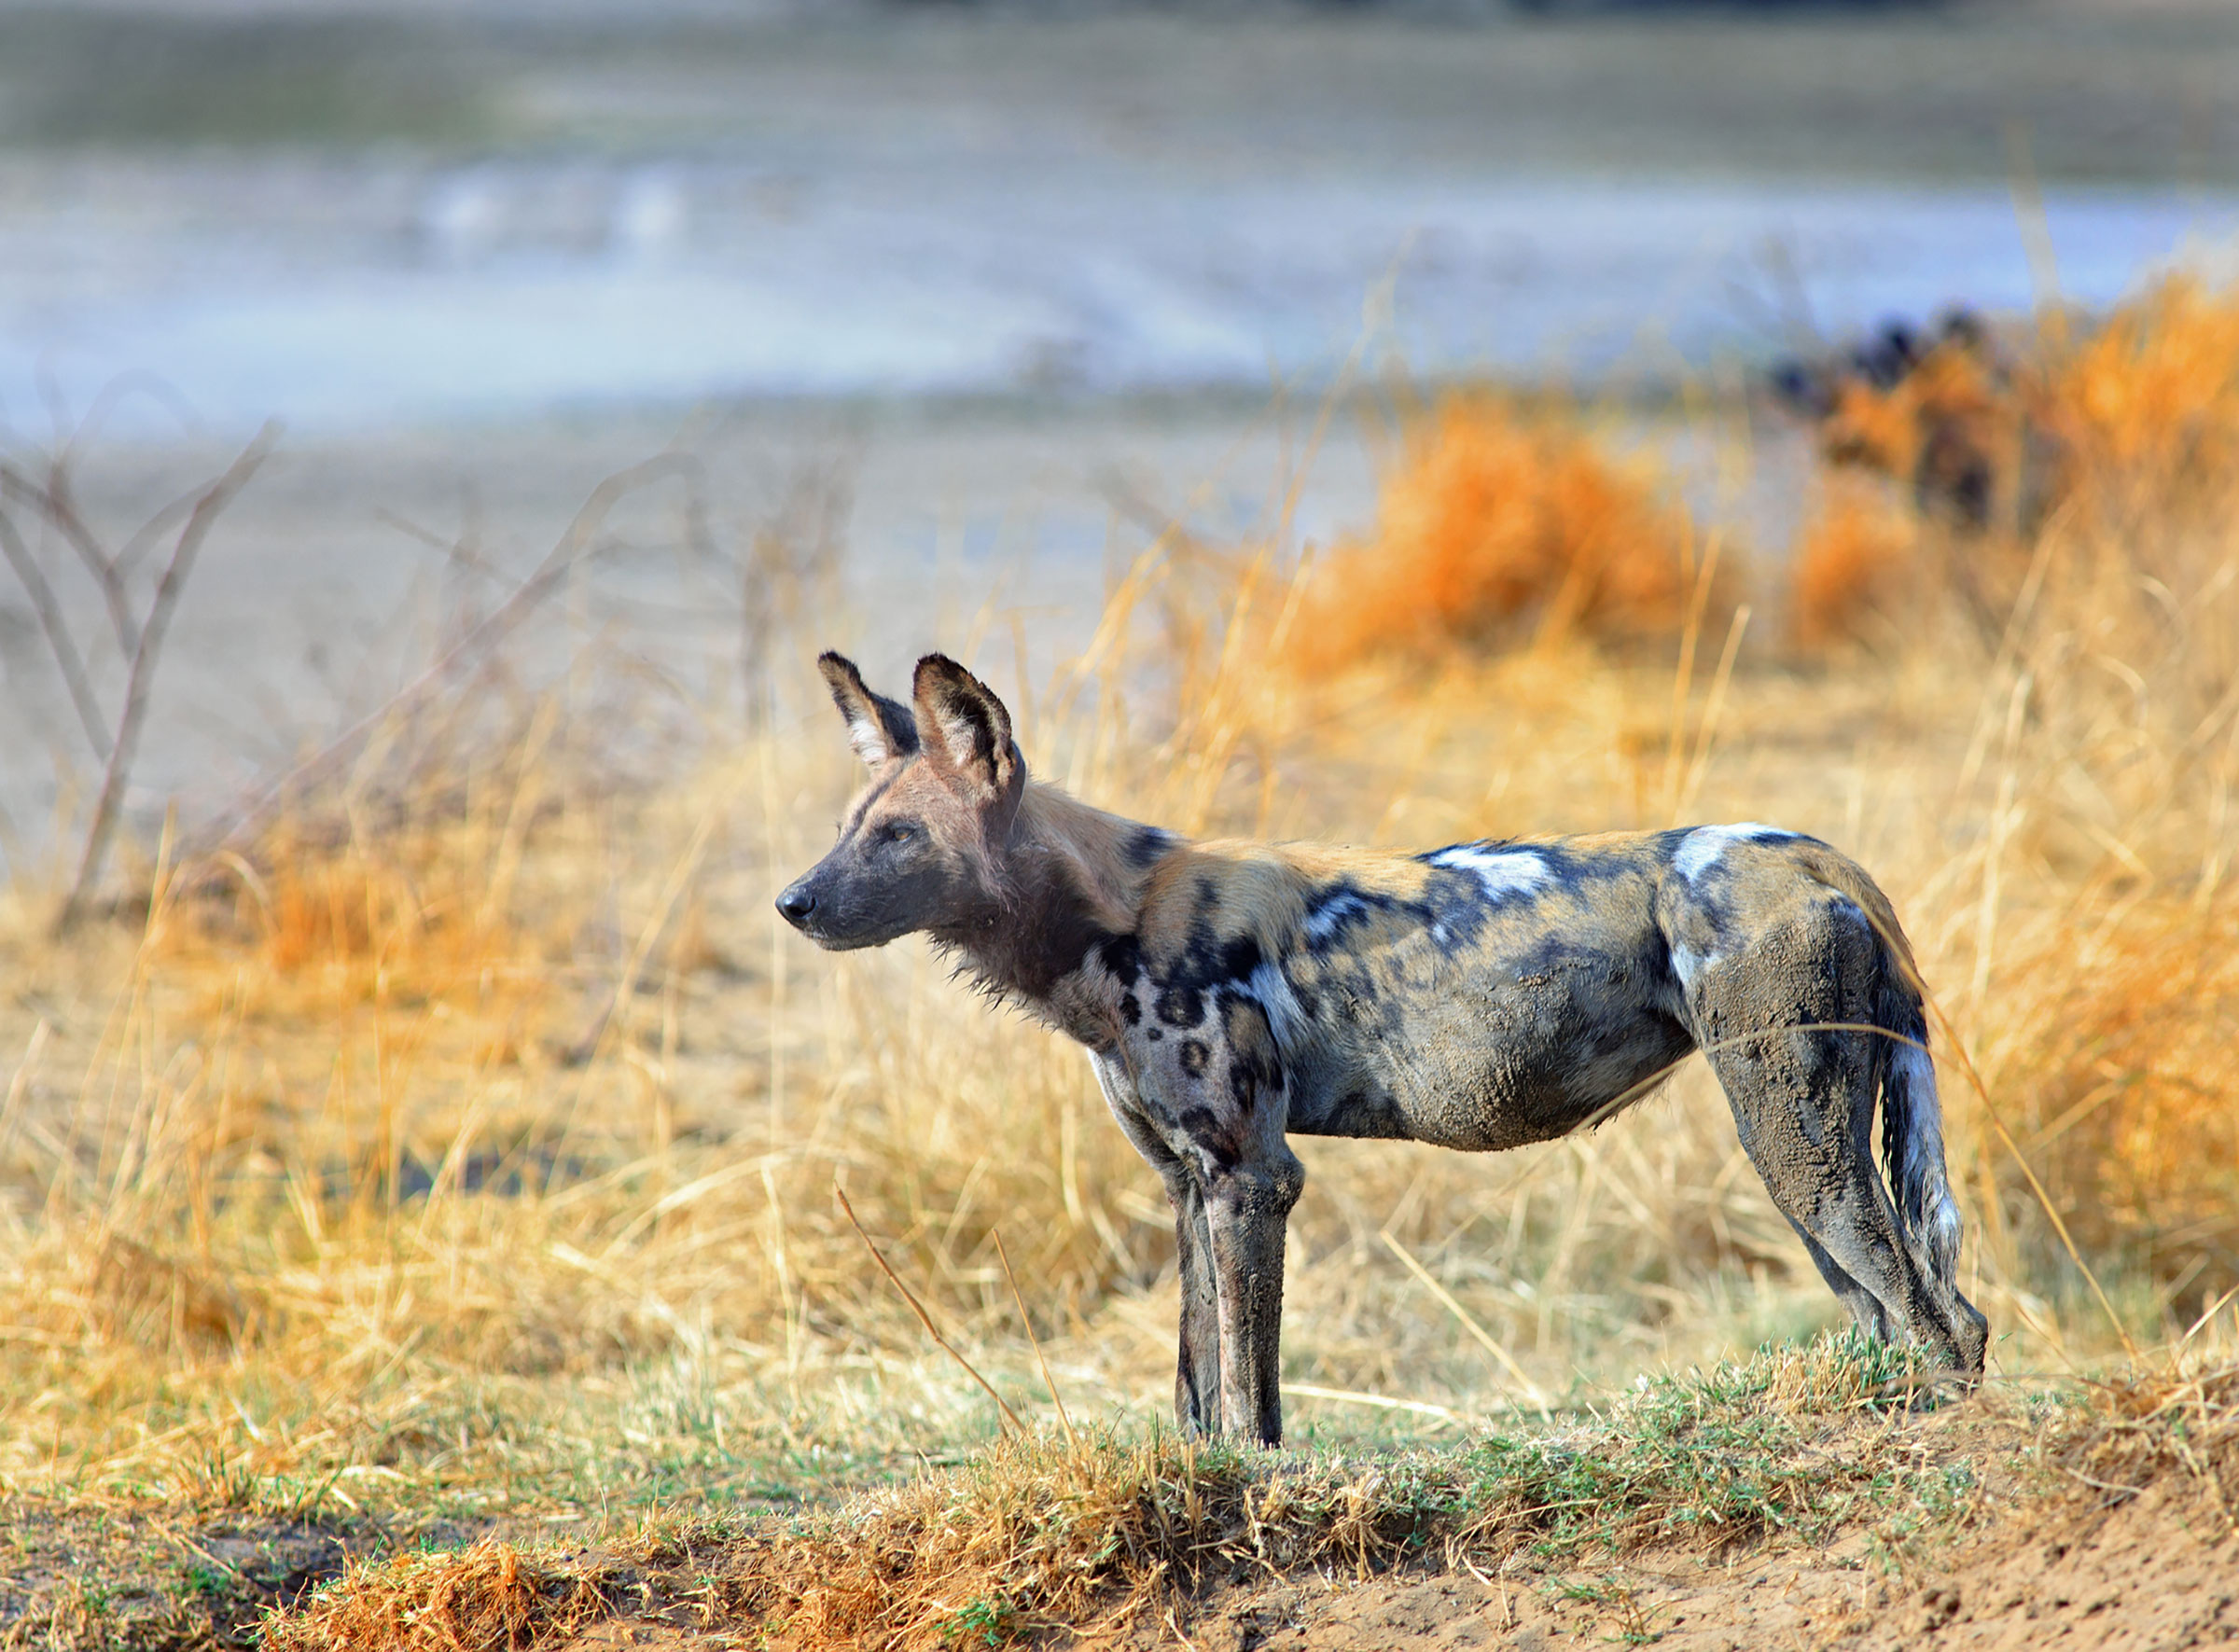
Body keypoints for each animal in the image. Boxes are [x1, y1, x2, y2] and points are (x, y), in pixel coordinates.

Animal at [779, 648, 1988, 1432]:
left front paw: (1258, 1502)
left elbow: (1251, 1398)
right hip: (1800, 1157)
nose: (792, 901)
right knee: (1895, 1315)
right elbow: (1198, 1388)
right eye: (848, 828)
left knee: (1943, 1320)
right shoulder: (1189, 1185)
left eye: (899, 836)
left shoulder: (1253, 1178)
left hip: (1793, 1140)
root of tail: (1814, 851)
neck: (1105, 920)